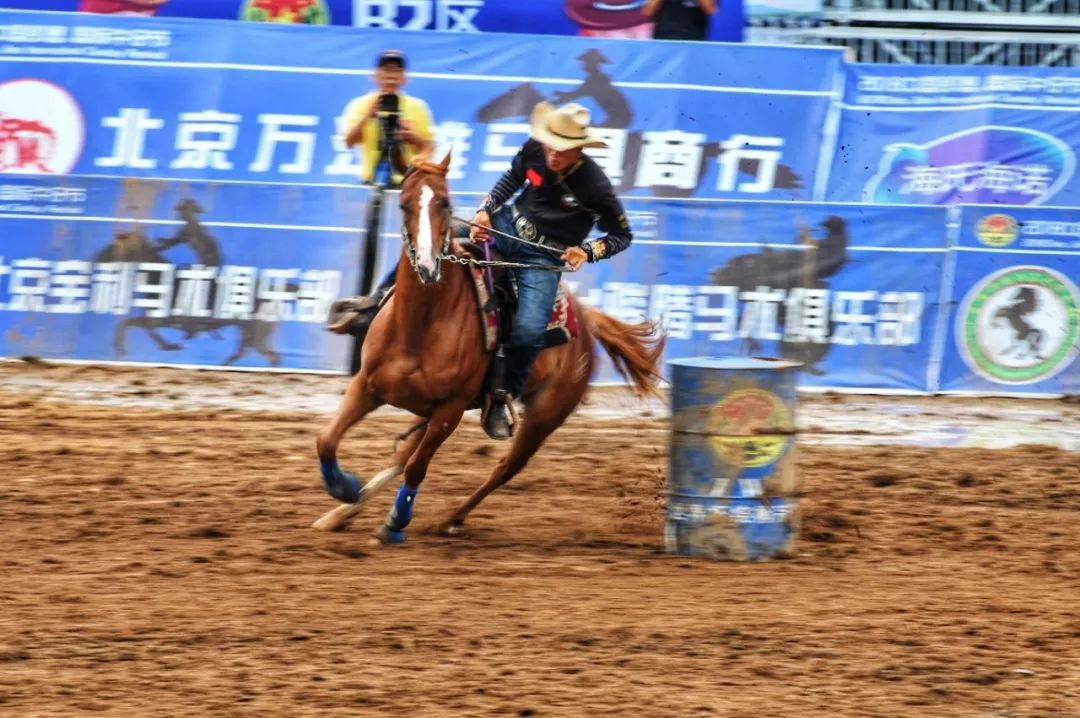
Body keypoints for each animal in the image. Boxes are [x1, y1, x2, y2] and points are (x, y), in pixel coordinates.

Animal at [313, 152, 665, 544]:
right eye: (403, 204)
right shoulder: (367, 385)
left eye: (445, 202)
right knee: (401, 456)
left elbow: (419, 467)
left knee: (505, 467)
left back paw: (450, 518)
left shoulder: (449, 410)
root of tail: (587, 320)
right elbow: (327, 440)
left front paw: (395, 522)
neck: (420, 326)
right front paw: (345, 489)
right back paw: (341, 513)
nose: (427, 266)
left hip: (545, 415)